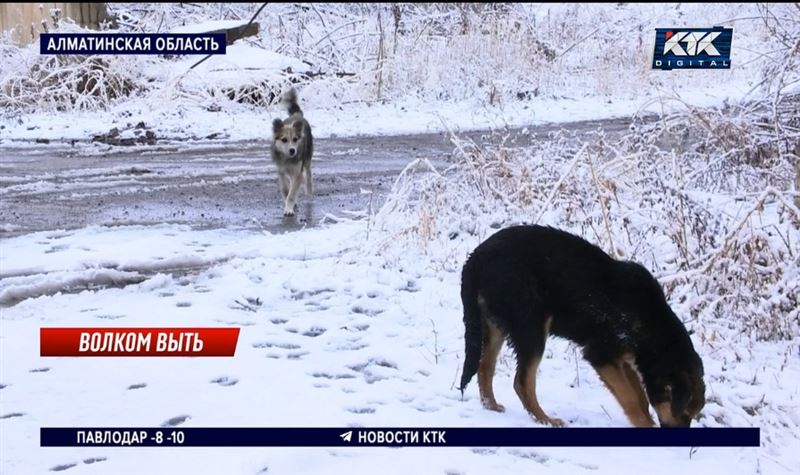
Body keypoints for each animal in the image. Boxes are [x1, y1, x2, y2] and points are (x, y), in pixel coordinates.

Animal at [460, 225, 704, 430]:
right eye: (685, 414)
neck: (654, 328)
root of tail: (476, 259)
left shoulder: (620, 359)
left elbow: (639, 396)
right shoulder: (602, 355)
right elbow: (632, 398)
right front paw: (645, 425)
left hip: (496, 326)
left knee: (484, 367)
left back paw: (491, 405)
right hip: (532, 325)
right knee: (521, 382)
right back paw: (545, 419)